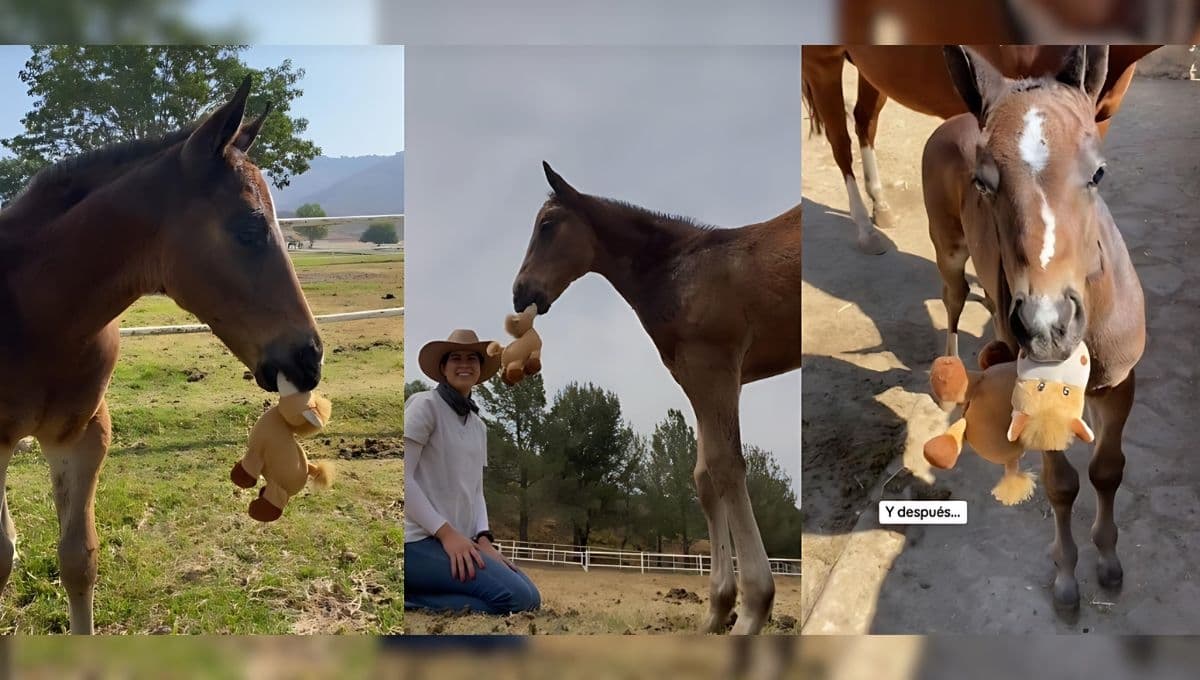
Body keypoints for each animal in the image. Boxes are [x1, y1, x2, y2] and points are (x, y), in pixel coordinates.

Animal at [511, 162, 801, 634]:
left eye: (548, 225)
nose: (520, 292)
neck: (679, 270)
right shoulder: (704, 378)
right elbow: (704, 477)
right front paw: (717, 609)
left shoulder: (712, 366)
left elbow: (726, 467)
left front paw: (753, 609)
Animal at [922, 45, 1145, 610]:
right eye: (983, 182)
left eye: (1098, 174)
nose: (1046, 327)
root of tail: (953, 118)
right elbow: (1061, 484)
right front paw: (1066, 576)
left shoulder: (1121, 383)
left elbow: (1108, 470)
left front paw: (1109, 561)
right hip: (947, 249)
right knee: (953, 301)